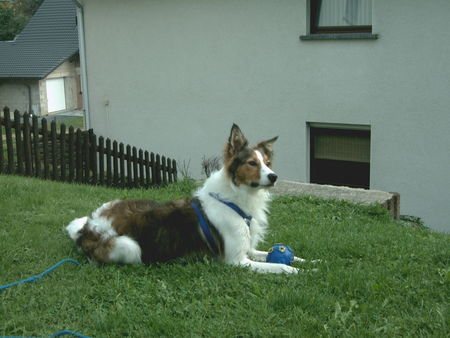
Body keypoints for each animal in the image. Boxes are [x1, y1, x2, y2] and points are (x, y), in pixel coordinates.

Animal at [66, 124, 302, 274]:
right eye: (252, 163)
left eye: (267, 163)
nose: (274, 177)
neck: (234, 199)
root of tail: (88, 226)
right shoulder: (236, 260)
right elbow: (279, 266)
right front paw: (295, 269)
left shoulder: (248, 250)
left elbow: (277, 254)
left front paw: (306, 260)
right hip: (129, 246)